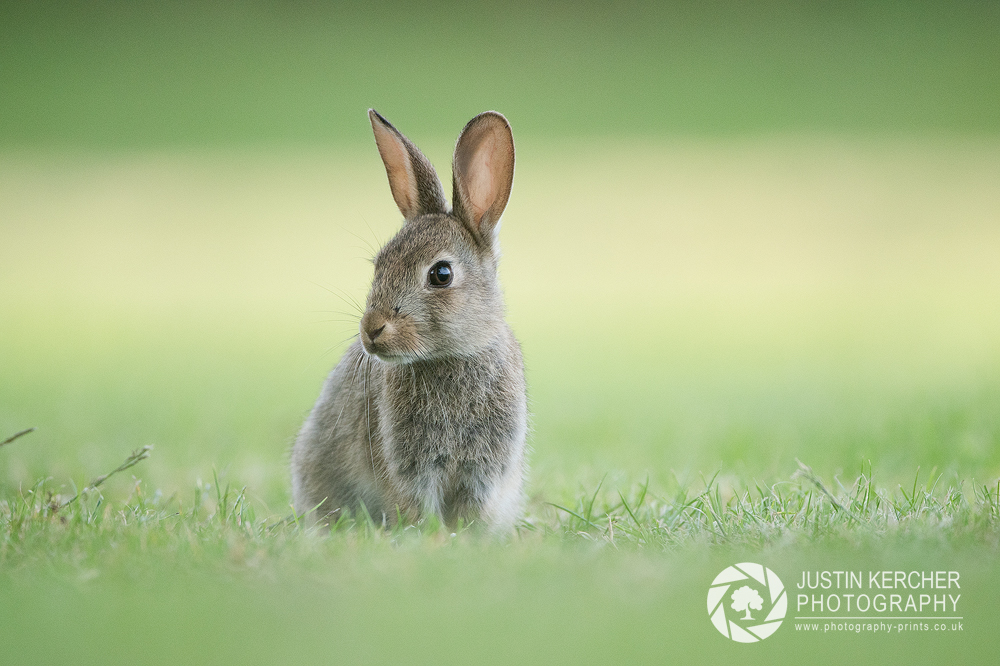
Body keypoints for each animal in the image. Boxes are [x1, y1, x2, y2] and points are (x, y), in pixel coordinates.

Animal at [290, 109, 528, 532]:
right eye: (379, 264)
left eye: (441, 274)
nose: (371, 330)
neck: (450, 357)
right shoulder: (408, 467)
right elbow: (416, 509)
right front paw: (430, 537)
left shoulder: (483, 471)